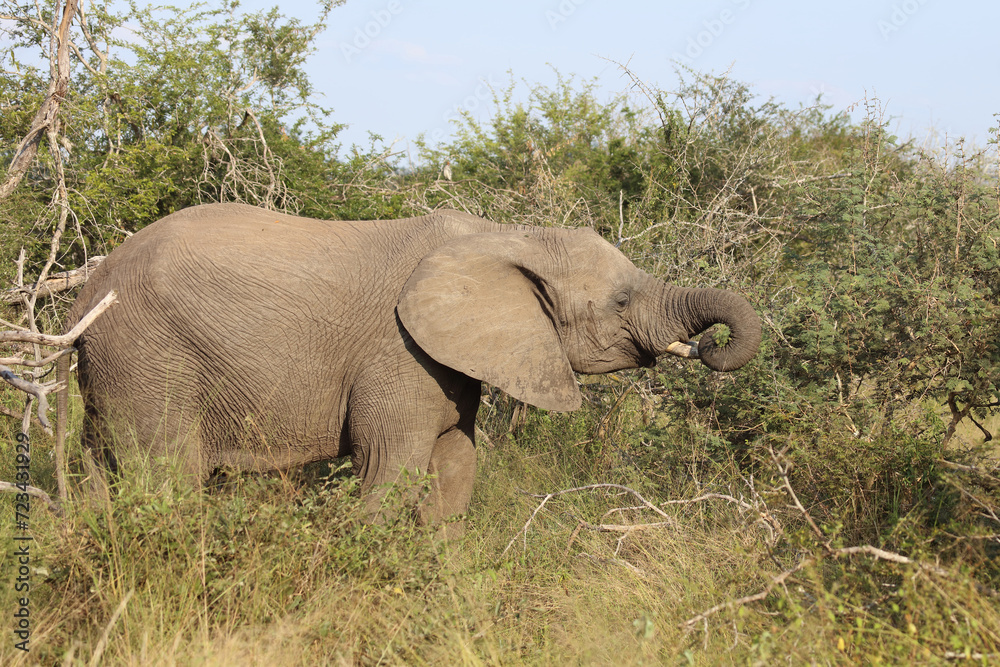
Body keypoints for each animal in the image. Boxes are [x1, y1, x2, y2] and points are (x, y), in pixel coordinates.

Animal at [59, 203, 761, 528]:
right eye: (619, 305)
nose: (709, 345)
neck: (505, 234)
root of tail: (88, 292)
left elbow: (457, 463)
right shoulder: (399, 354)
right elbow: (388, 468)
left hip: (117, 367)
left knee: (100, 475)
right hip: (151, 356)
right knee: (166, 477)